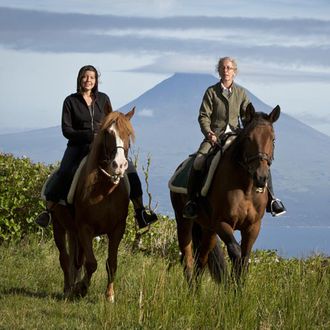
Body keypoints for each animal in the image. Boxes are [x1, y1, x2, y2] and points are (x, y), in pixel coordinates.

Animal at [50, 106, 135, 302]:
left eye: (128, 134)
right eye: (108, 133)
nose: (119, 165)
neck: (105, 189)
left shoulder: (117, 229)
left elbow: (111, 263)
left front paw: (109, 295)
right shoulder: (85, 228)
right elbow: (91, 263)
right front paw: (81, 288)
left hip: (73, 232)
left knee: (75, 260)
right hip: (58, 226)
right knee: (65, 258)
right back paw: (68, 288)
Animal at [170, 104, 282, 284]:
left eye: (273, 139)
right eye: (249, 138)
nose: (261, 177)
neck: (246, 188)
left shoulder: (253, 227)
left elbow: (244, 259)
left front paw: (238, 288)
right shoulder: (222, 223)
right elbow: (235, 252)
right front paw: (231, 286)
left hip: (208, 229)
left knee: (202, 260)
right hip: (184, 221)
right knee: (188, 259)